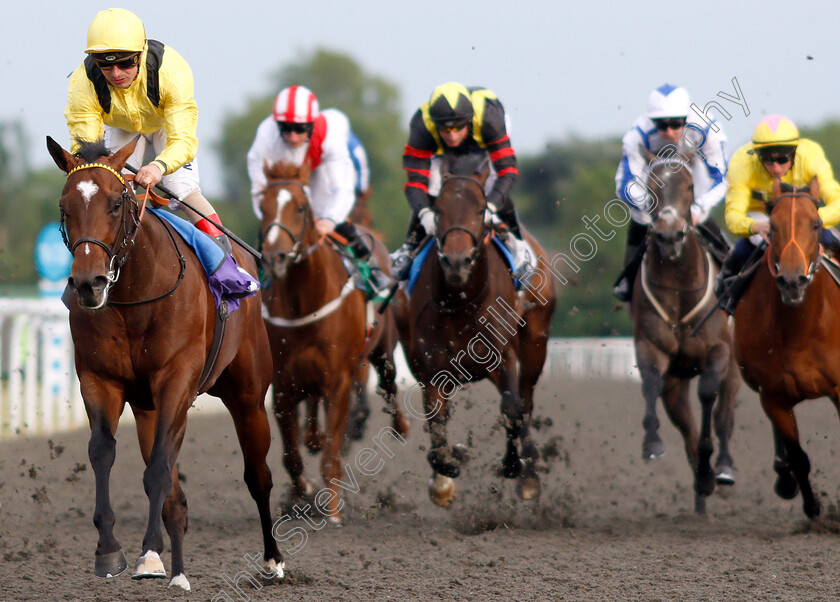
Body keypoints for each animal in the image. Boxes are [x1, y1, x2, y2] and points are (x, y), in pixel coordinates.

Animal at [46, 135, 282, 584]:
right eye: (65, 206)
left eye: (115, 204)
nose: (89, 284)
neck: (134, 295)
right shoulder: (99, 380)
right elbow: (103, 452)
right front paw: (111, 551)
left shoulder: (176, 379)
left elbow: (157, 467)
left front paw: (148, 551)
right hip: (148, 408)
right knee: (175, 495)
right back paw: (174, 569)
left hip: (247, 394)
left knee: (258, 475)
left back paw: (273, 560)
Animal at [260, 158, 410, 520]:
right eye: (263, 206)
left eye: (301, 207)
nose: (275, 257)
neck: (305, 299)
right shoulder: (283, 384)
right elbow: (291, 457)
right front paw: (302, 492)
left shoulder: (340, 380)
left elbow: (332, 452)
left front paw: (332, 510)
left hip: (381, 351)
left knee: (389, 383)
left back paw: (402, 425)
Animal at [398, 152, 556, 504]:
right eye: (438, 209)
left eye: (482, 209)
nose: (457, 262)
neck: (463, 303)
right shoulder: (431, 368)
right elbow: (436, 420)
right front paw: (447, 470)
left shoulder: (502, 356)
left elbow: (512, 407)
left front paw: (514, 467)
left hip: (535, 342)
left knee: (525, 400)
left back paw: (529, 472)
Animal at [632, 154, 740, 510]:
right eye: (650, 185)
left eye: (690, 186)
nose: (669, 236)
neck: (680, 287)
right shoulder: (651, 346)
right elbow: (651, 383)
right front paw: (652, 443)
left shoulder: (718, 350)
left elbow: (709, 396)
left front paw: (713, 465)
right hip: (677, 382)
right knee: (685, 424)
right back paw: (701, 490)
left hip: (734, 369)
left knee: (724, 415)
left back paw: (722, 468)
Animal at [732, 177, 836, 516]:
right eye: (773, 226)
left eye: (816, 224)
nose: (792, 281)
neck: (799, 331)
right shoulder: (773, 396)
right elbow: (798, 457)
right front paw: (814, 509)